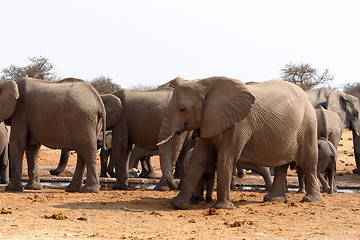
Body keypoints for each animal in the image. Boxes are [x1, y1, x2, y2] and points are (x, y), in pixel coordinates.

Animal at [159, 77, 322, 210]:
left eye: (182, 109)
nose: (174, 185)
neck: (205, 85)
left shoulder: (238, 124)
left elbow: (226, 158)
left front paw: (222, 208)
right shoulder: (209, 120)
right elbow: (198, 158)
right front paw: (177, 204)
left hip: (308, 124)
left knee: (309, 162)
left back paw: (311, 200)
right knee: (281, 165)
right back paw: (273, 199)